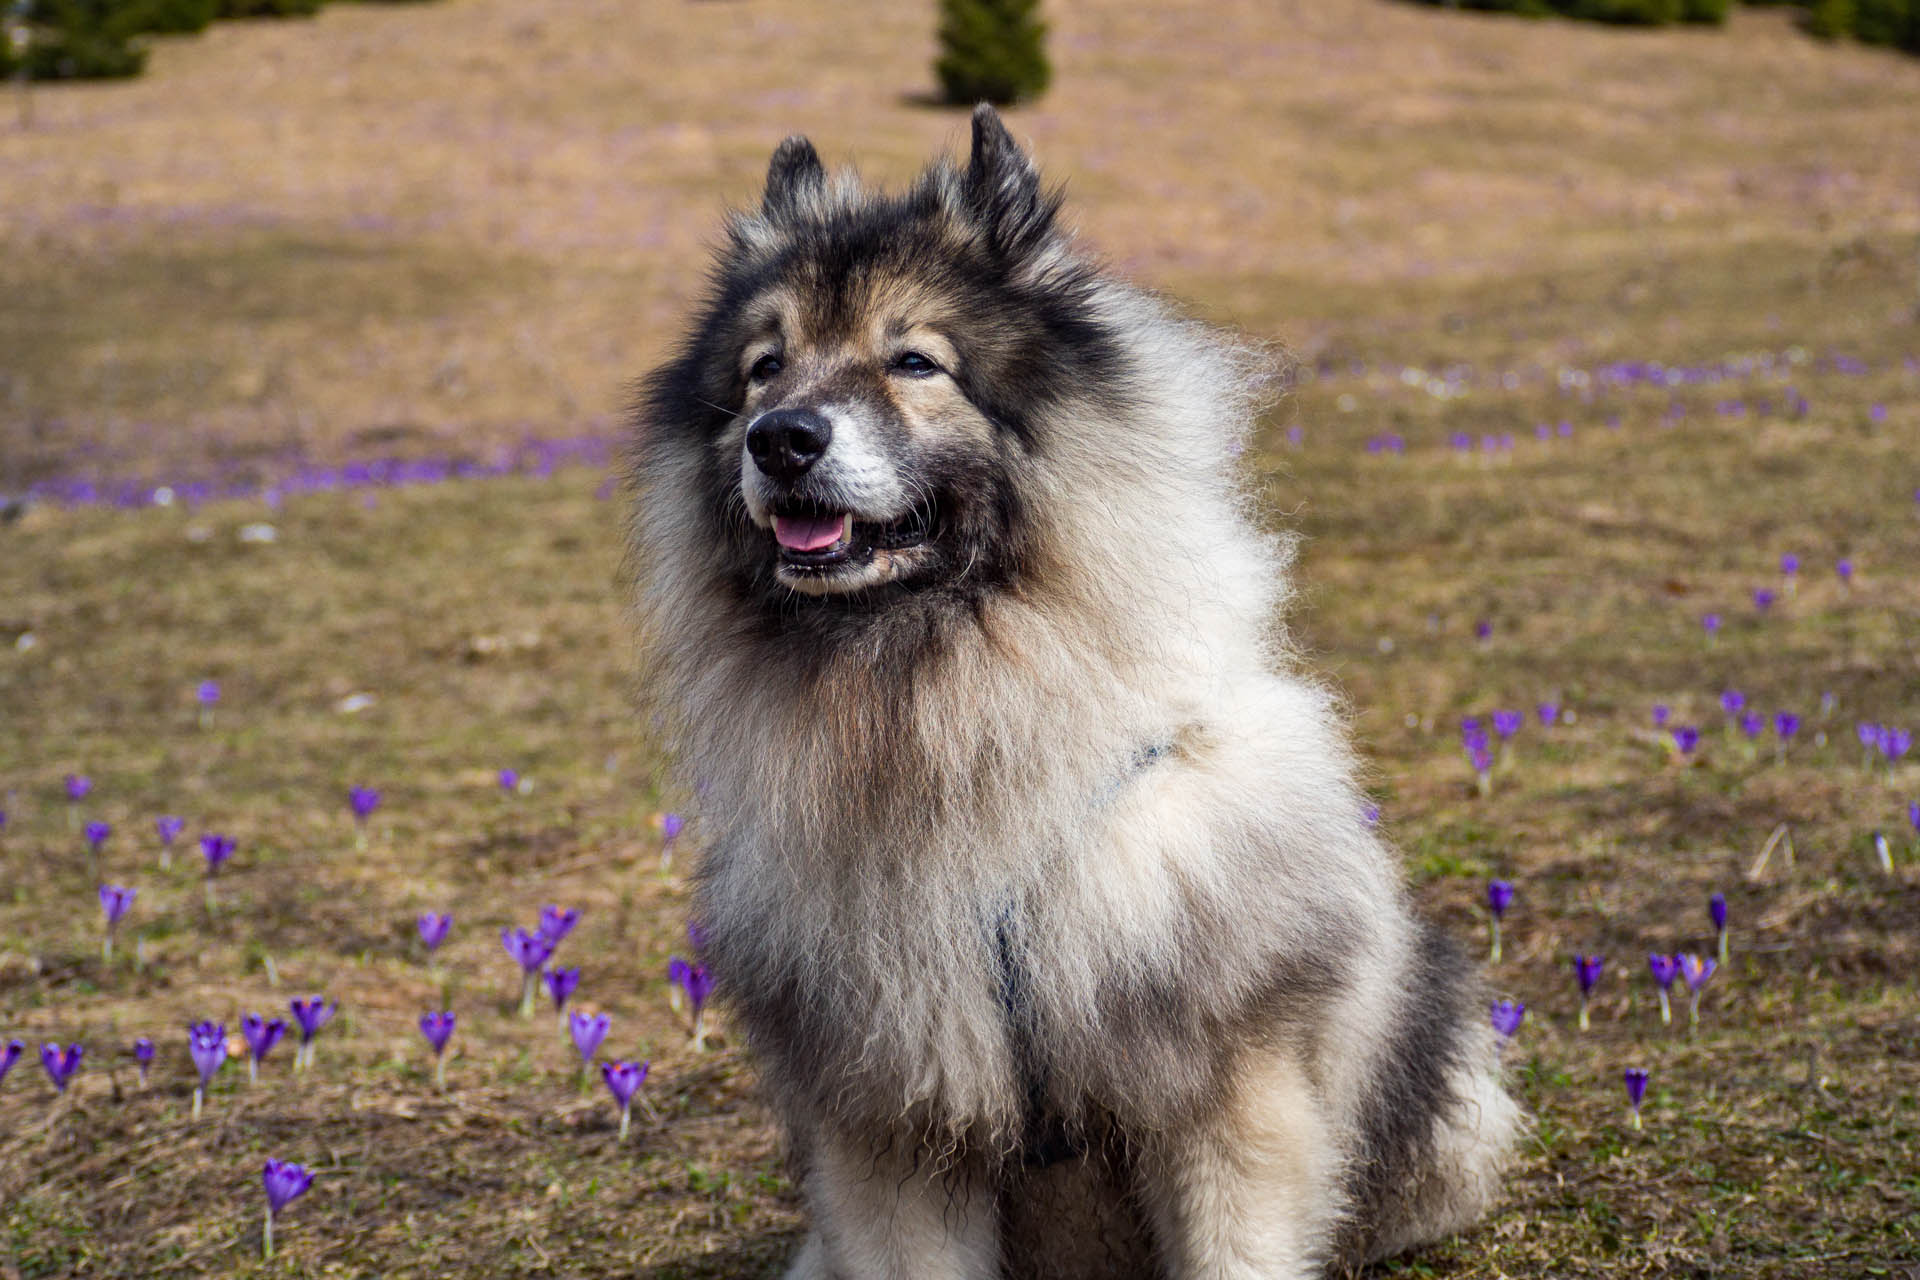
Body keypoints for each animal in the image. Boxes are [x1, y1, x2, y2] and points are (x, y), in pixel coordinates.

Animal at [625, 105, 1512, 1274]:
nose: (783, 440)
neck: (945, 717)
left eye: (916, 361)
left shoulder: (1227, 1084)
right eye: (765, 369)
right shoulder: (890, 1122)